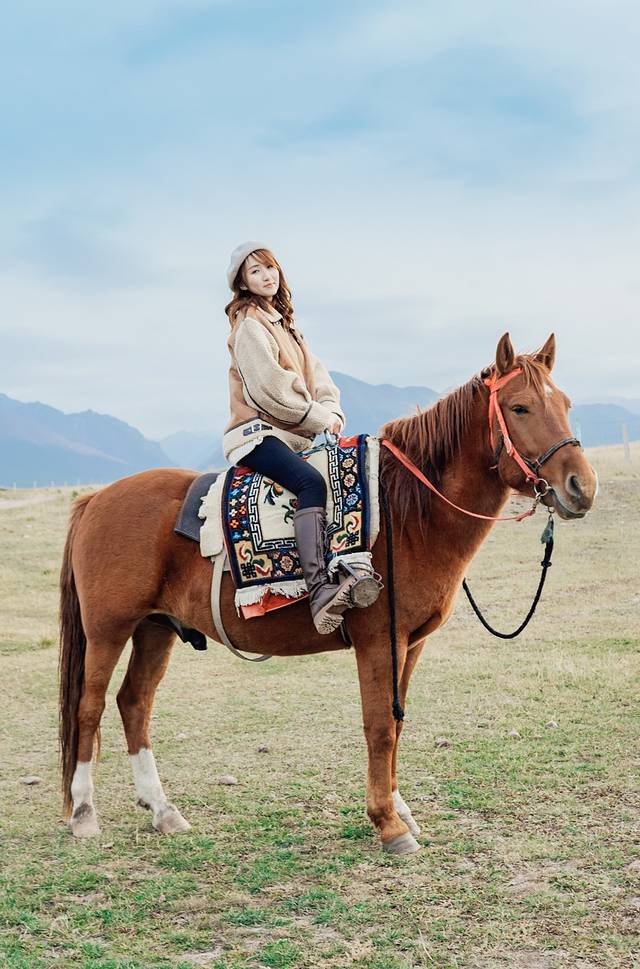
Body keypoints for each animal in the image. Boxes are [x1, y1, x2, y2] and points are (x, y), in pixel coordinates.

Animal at [58, 333, 597, 855]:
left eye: (566, 403)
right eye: (520, 407)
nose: (582, 487)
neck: (409, 512)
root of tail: (95, 501)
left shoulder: (412, 644)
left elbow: (397, 723)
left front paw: (399, 812)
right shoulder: (380, 641)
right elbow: (380, 726)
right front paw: (387, 824)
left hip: (155, 629)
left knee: (134, 702)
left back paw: (162, 810)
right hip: (109, 630)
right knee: (90, 706)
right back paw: (84, 813)